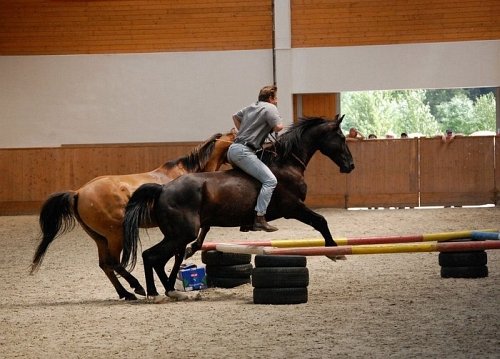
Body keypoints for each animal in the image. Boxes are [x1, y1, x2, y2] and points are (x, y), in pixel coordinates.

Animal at [30, 131, 234, 300]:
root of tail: (78, 192)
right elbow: (183, 248)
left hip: (100, 238)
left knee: (105, 265)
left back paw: (126, 293)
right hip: (115, 235)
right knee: (113, 263)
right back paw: (137, 286)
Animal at [122, 116, 356, 300]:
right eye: (342, 138)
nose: (350, 165)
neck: (286, 163)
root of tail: (163, 188)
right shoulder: (293, 208)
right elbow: (320, 221)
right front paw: (335, 251)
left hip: (176, 236)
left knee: (161, 259)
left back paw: (172, 291)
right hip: (180, 234)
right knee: (150, 256)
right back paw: (155, 293)